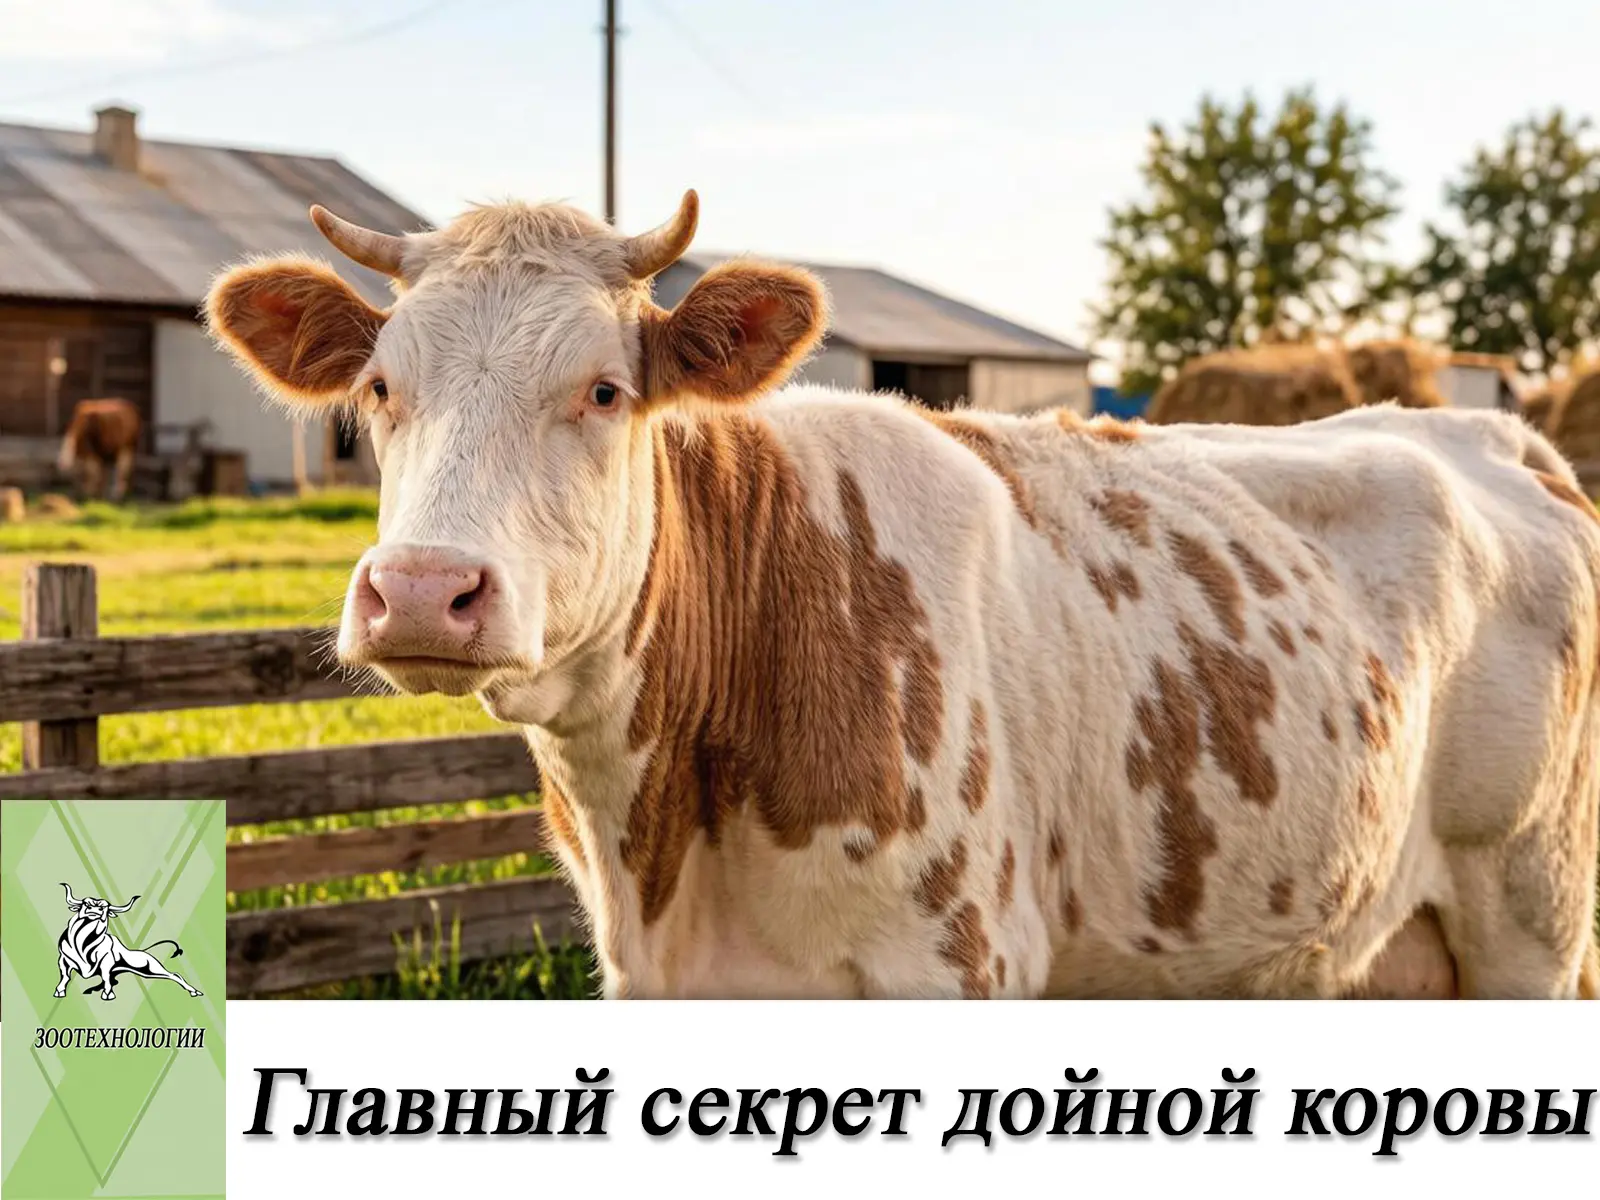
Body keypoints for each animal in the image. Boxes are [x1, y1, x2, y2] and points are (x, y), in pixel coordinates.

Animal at [55, 883, 203, 1001]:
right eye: (86, 903)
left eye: (105, 907)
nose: (96, 909)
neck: (83, 943)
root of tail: (145, 953)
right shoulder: (63, 960)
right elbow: (65, 976)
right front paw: (59, 991)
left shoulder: (106, 962)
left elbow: (106, 976)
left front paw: (108, 993)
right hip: (147, 972)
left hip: (152, 968)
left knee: (175, 975)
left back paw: (194, 991)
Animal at [203, 192, 1600, 1000]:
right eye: (379, 390)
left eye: (603, 389)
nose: (421, 591)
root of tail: (1487, 434)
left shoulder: (956, 964)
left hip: (1530, 915)